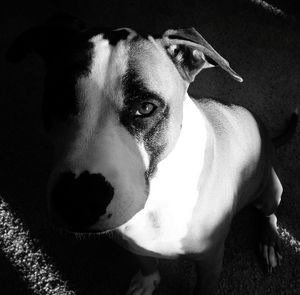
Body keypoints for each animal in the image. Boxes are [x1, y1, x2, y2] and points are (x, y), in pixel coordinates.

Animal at [7, 15, 298, 295]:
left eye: (146, 108)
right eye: (59, 100)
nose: (77, 201)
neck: (157, 195)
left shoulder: (211, 259)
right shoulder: (133, 242)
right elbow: (145, 260)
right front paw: (147, 281)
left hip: (271, 191)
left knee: (269, 214)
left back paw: (269, 242)